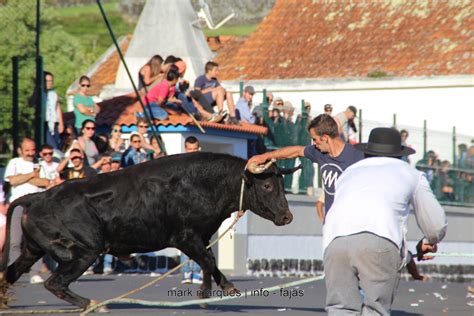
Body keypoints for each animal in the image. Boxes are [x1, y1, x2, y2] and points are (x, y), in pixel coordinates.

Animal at [0, 152, 300, 308]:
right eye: (267, 186)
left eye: (281, 185)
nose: (287, 216)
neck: (205, 183)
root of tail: (38, 197)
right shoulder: (185, 237)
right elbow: (207, 260)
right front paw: (206, 293)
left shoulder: (201, 236)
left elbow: (209, 262)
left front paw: (220, 288)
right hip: (84, 251)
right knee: (55, 282)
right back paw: (94, 304)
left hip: (32, 250)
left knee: (12, 272)